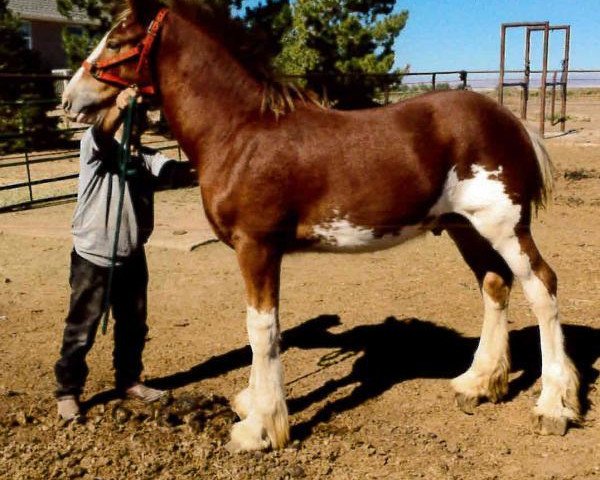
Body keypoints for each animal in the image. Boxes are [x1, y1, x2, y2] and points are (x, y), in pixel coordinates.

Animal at [62, 0, 580, 452]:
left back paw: (553, 406)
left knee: (542, 286)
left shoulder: (256, 247)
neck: (241, 133)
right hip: (464, 228)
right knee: (494, 284)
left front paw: (260, 429)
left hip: (505, 228)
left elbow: (262, 329)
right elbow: (263, 329)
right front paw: (252, 405)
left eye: (117, 40)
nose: (69, 97)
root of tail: (510, 121)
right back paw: (478, 383)